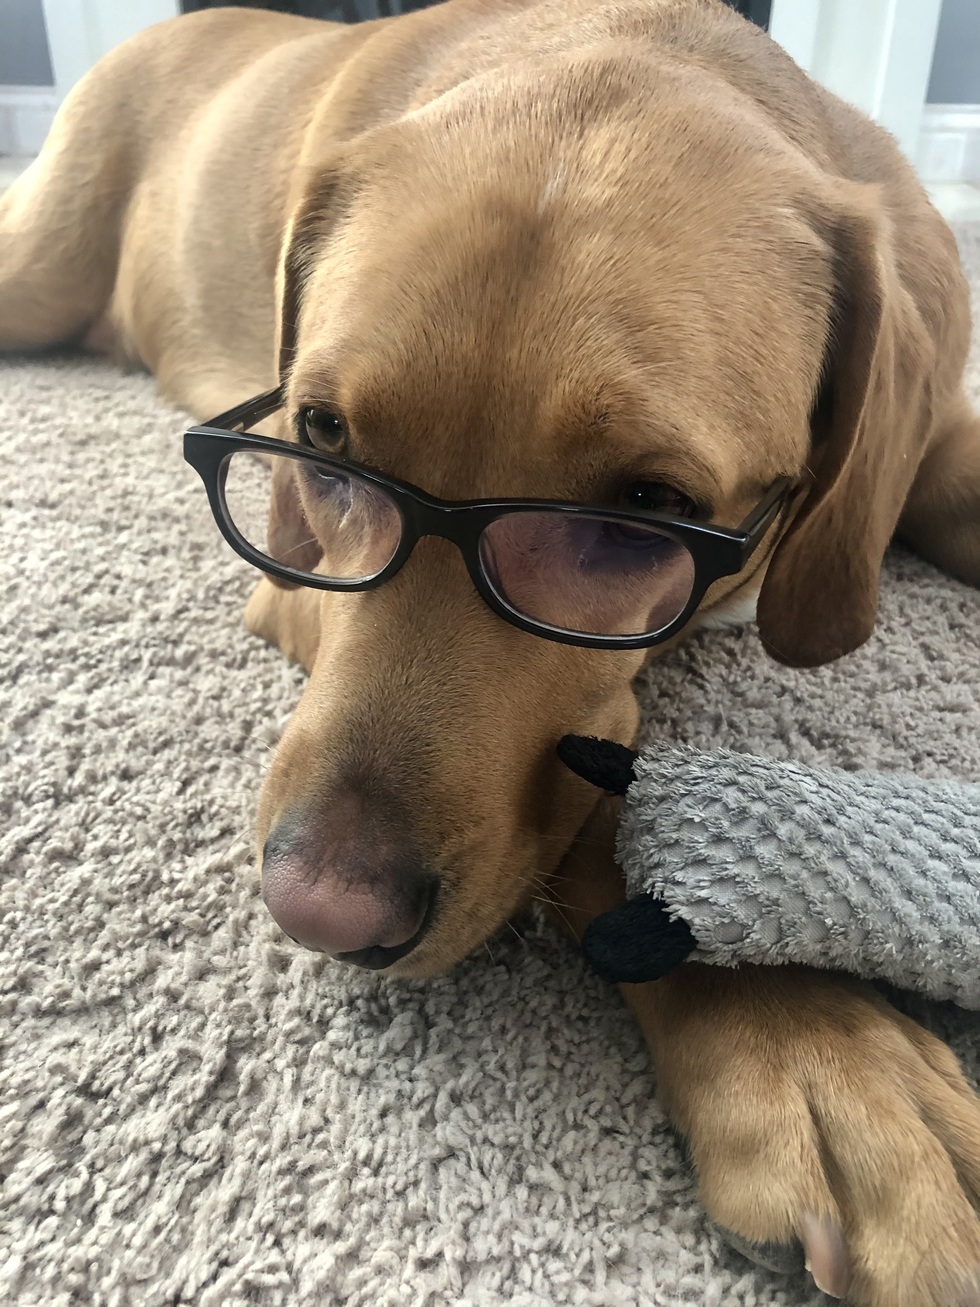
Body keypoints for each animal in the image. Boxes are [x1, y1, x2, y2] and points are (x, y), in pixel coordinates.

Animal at [2, 2, 979, 1302]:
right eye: (323, 433)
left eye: (647, 506)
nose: (318, 913)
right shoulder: (293, 574)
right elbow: (610, 803)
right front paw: (815, 1045)